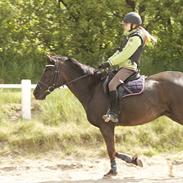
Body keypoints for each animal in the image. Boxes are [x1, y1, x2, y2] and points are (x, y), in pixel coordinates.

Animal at [33, 55, 183, 177]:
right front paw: (134, 160)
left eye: (48, 72)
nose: (36, 93)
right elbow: (113, 150)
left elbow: (110, 149)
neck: (93, 89)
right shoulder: (107, 127)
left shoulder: (106, 126)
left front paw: (113, 171)